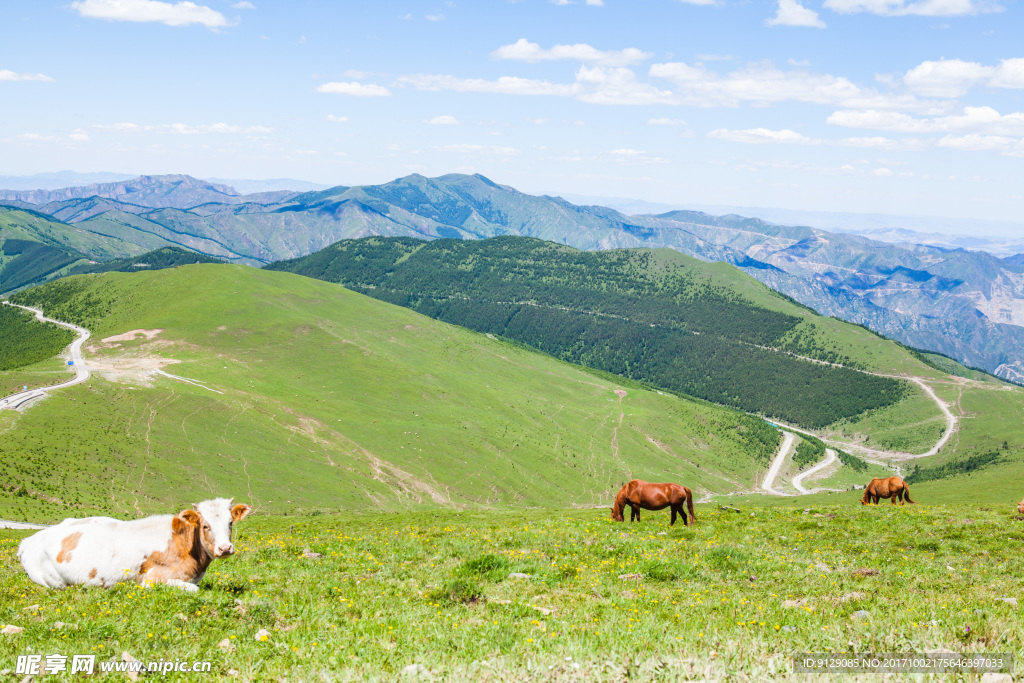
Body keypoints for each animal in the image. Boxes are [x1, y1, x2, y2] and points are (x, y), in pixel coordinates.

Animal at [18, 497, 250, 593]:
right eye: (205, 525)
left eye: (230, 523)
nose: (225, 548)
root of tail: (29, 540)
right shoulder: (151, 580)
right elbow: (193, 589)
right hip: (52, 580)